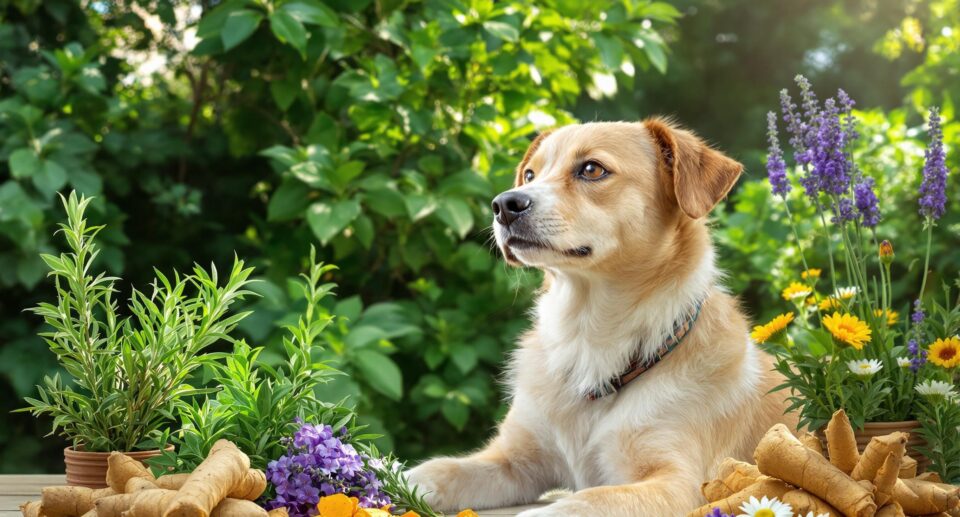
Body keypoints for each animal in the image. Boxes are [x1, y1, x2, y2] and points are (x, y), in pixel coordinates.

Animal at [404, 120, 796, 516]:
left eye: (592, 169)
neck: (587, 337)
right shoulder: (514, 462)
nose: (503, 205)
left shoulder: (680, 484)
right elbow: (441, 468)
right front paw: (396, 478)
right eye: (530, 174)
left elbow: (585, 500)